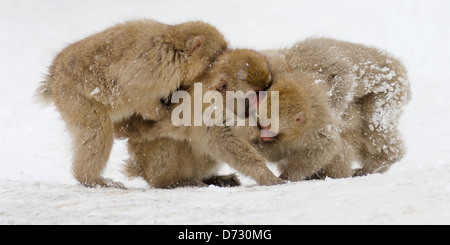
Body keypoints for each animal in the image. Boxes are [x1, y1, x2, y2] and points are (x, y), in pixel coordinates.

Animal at [36, 19, 229, 188]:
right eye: (215, 57)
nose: (221, 66)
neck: (175, 50)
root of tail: (52, 78)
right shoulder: (156, 65)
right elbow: (133, 91)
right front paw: (162, 114)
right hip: (72, 95)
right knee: (97, 130)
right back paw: (90, 179)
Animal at [112, 49, 284, 188]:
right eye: (254, 95)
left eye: (265, 89)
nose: (262, 103)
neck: (223, 98)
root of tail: (140, 167)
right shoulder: (208, 107)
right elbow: (223, 141)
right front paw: (264, 174)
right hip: (154, 166)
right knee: (173, 141)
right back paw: (175, 182)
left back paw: (212, 178)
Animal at [255, 37, 410, 180]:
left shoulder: (309, 58)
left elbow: (344, 76)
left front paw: (334, 113)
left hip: (392, 89)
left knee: (374, 121)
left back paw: (385, 158)